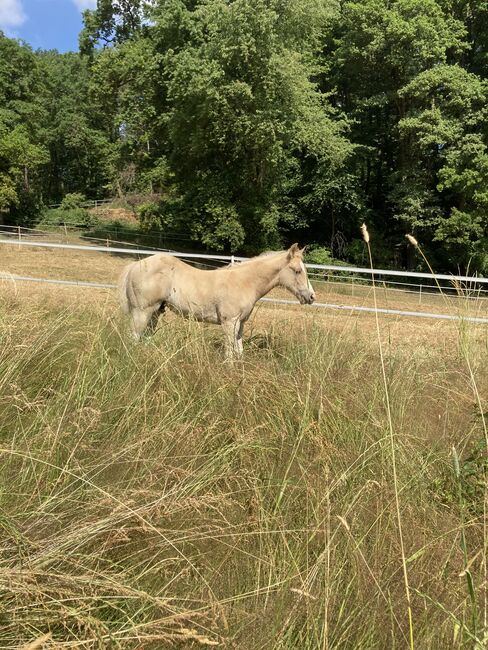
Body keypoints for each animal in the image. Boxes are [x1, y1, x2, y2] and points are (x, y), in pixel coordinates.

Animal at [118, 242, 316, 356]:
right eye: (297, 271)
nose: (311, 296)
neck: (244, 282)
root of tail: (135, 265)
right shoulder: (229, 322)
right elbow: (230, 353)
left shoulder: (240, 324)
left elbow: (239, 352)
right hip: (142, 312)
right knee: (133, 338)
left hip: (155, 312)